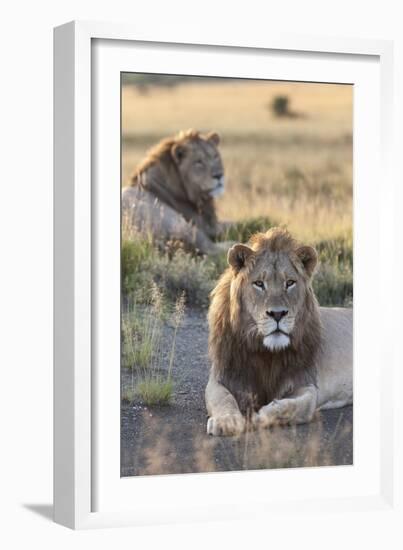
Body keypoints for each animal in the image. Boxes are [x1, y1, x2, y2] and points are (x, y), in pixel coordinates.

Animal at [207, 226, 352, 438]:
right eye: (259, 283)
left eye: (290, 283)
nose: (277, 314)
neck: (266, 352)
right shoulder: (222, 377)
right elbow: (223, 399)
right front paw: (227, 421)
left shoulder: (307, 384)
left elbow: (293, 406)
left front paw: (260, 416)